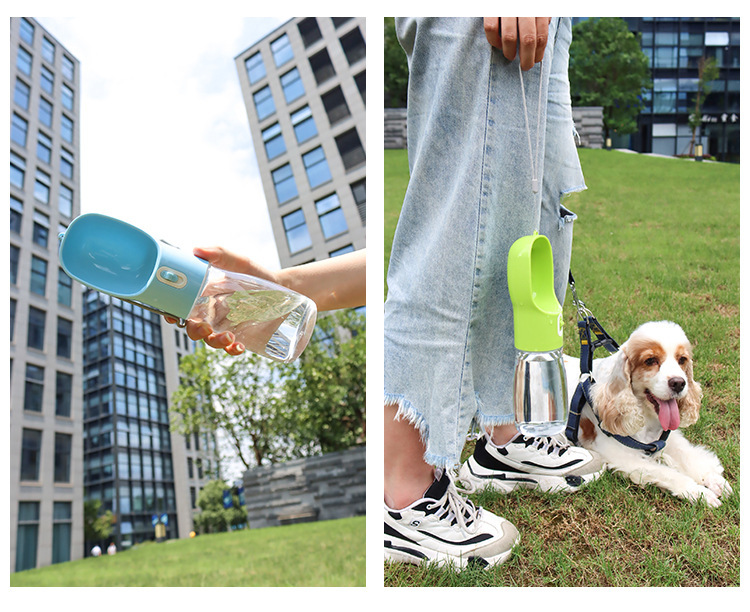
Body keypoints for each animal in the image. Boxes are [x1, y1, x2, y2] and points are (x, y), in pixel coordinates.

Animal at [564, 320, 736, 506]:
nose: (678, 383)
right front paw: (700, 493)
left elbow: (688, 456)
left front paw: (714, 480)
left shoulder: (664, 439)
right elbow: (669, 474)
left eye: (682, 359)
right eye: (650, 360)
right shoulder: (621, 455)